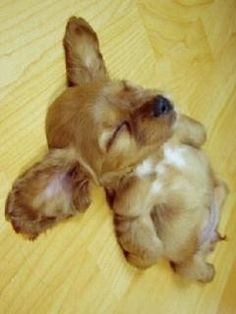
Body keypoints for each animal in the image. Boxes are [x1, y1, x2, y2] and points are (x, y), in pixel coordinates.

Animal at [5, 17, 227, 282]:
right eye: (117, 133)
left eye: (128, 86)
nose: (162, 102)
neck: (153, 160)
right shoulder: (130, 210)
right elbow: (151, 250)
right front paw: (138, 257)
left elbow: (198, 132)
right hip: (188, 268)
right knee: (199, 268)